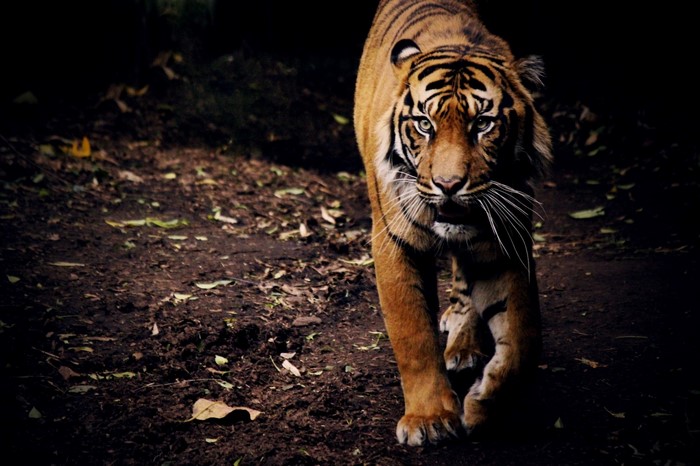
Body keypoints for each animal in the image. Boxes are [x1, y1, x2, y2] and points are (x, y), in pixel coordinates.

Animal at [353, 0, 553, 446]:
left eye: (483, 124)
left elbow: (524, 337)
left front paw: (484, 406)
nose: (448, 185)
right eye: (424, 124)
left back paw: (464, 346)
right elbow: (412, 333)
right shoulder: (394, 241)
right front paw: (429, 420)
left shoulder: (505, 239)